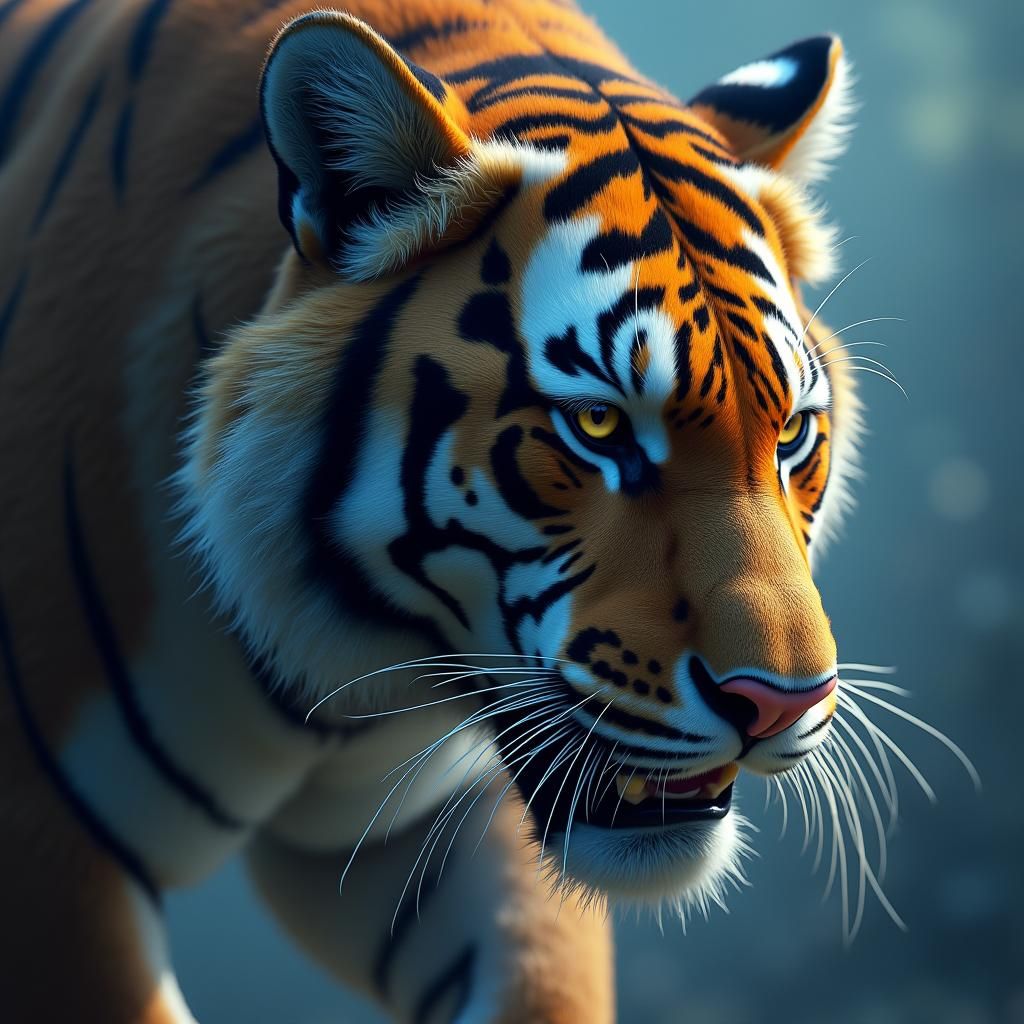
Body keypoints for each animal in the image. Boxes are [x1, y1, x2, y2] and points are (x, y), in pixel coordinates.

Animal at [0, 0, 865, 1020]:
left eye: (791, 433)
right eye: (599, 423)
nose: (781, 705)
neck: (358, 672)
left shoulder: (424, 829)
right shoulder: (49, 835)